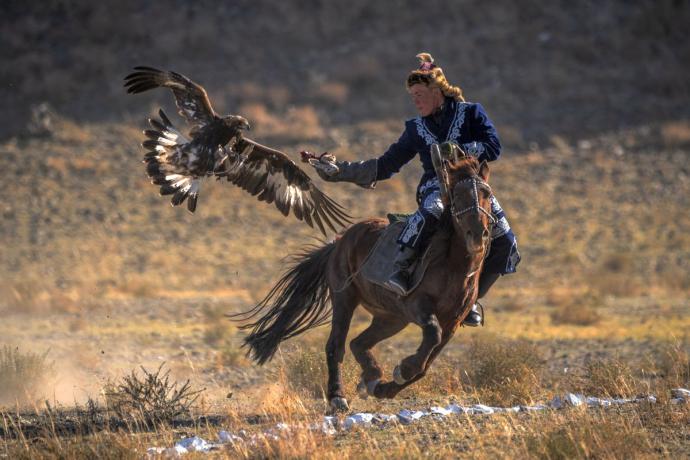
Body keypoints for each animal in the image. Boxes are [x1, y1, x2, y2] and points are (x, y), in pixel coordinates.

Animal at [234, 154, 492, 410]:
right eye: (457, 195)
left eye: (487, 194)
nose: (477, 234)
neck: (454, 267)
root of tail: (339, 241)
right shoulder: (418, 306)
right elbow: (431, 335)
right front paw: (402, 370)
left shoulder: (452, 323)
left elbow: (425, 364)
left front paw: (387, 386)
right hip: (345, 299)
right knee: (336, 346)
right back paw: (337, 397)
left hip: (391, 318)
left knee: (358, 343)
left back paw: (372, 378)